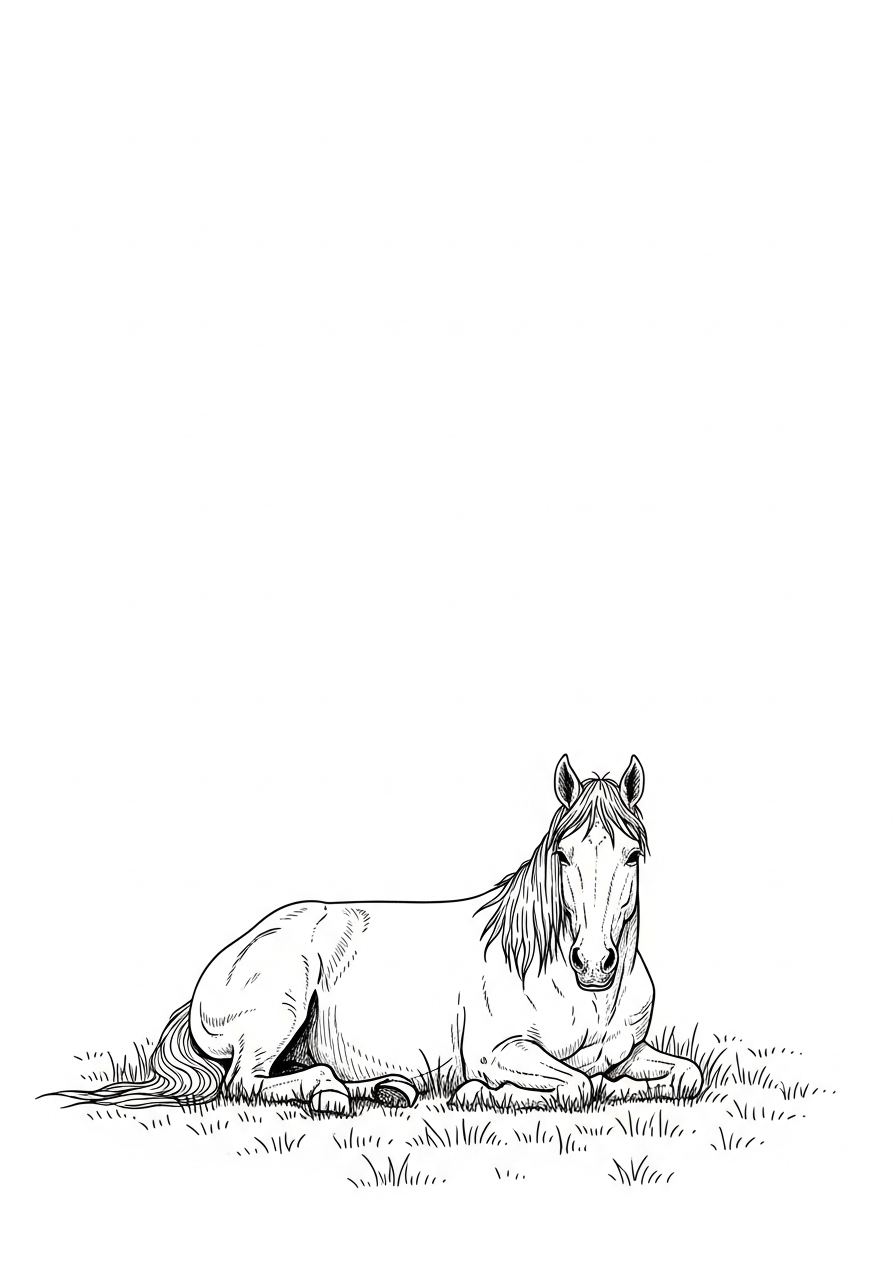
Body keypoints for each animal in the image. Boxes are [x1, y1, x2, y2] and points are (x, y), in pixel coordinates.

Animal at [49, 754, 702, 1113]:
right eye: (564, 856)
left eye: (633, 855)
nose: (594, 964)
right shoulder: (499, 1051)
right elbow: (577, 1088)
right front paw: (477, 1094)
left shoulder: (632, 1052)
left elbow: (680, 1076)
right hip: (280, 1007)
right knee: (247, 1083)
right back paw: (331, 1093)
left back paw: (387, 1089)